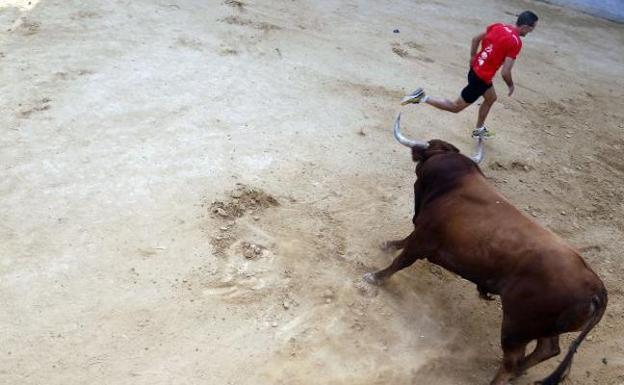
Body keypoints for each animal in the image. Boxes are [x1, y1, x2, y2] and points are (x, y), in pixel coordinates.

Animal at [364, 114, 608, 384]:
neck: (455, 182)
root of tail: (596, 287)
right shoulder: (422, 233)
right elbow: (404, 242)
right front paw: (388, 245)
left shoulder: (423, 238)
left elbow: (402, 259)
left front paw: (374, 277)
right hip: (542, 327)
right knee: (547, 349)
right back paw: (522, 371)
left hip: (516, 326)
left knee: (513, 360)